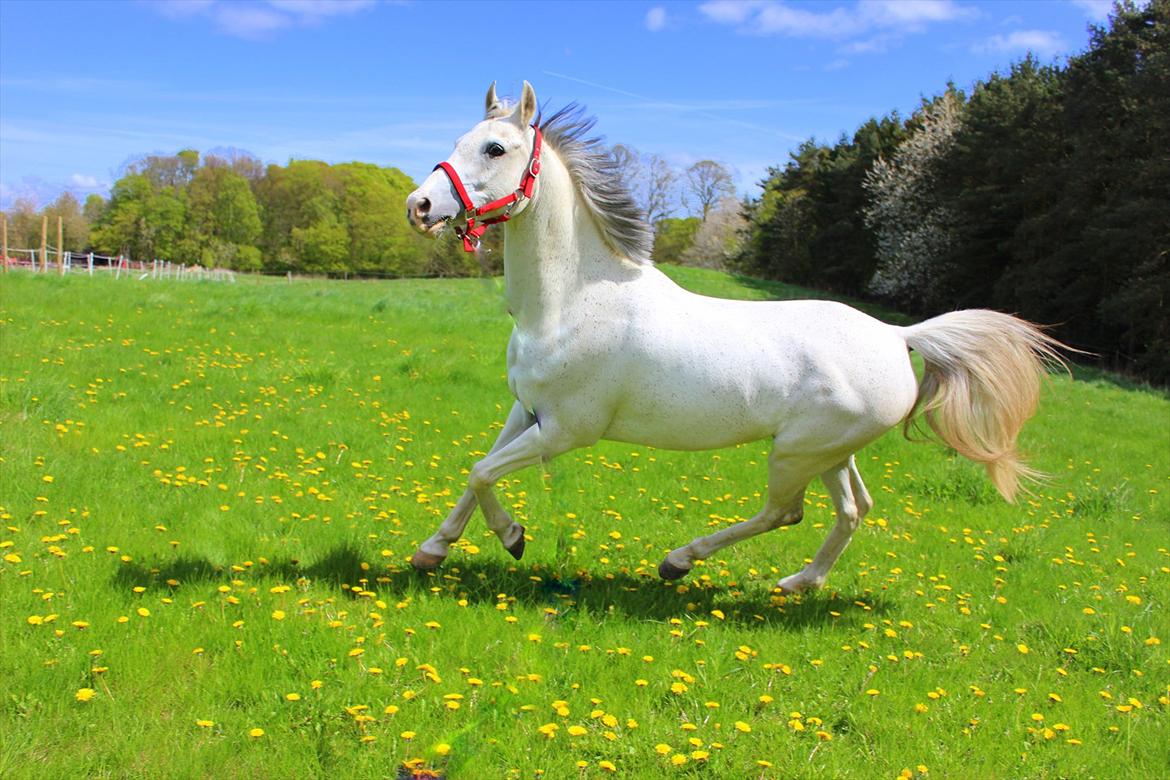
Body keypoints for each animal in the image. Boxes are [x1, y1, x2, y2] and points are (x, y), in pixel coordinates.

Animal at [402, 80, 1062, 591]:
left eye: (495, 147)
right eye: (458, 140)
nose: (420, 206)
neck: (570, 303)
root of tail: (899, 335)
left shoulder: (567, 430)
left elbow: (481, 472)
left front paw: (512, 537)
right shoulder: (527, 411)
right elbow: (479, 468)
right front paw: (433, 550)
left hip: (796, 453)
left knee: (784, 512)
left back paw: (678, 562)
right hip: (830, 452)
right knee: (853, 509)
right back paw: (799, 582)